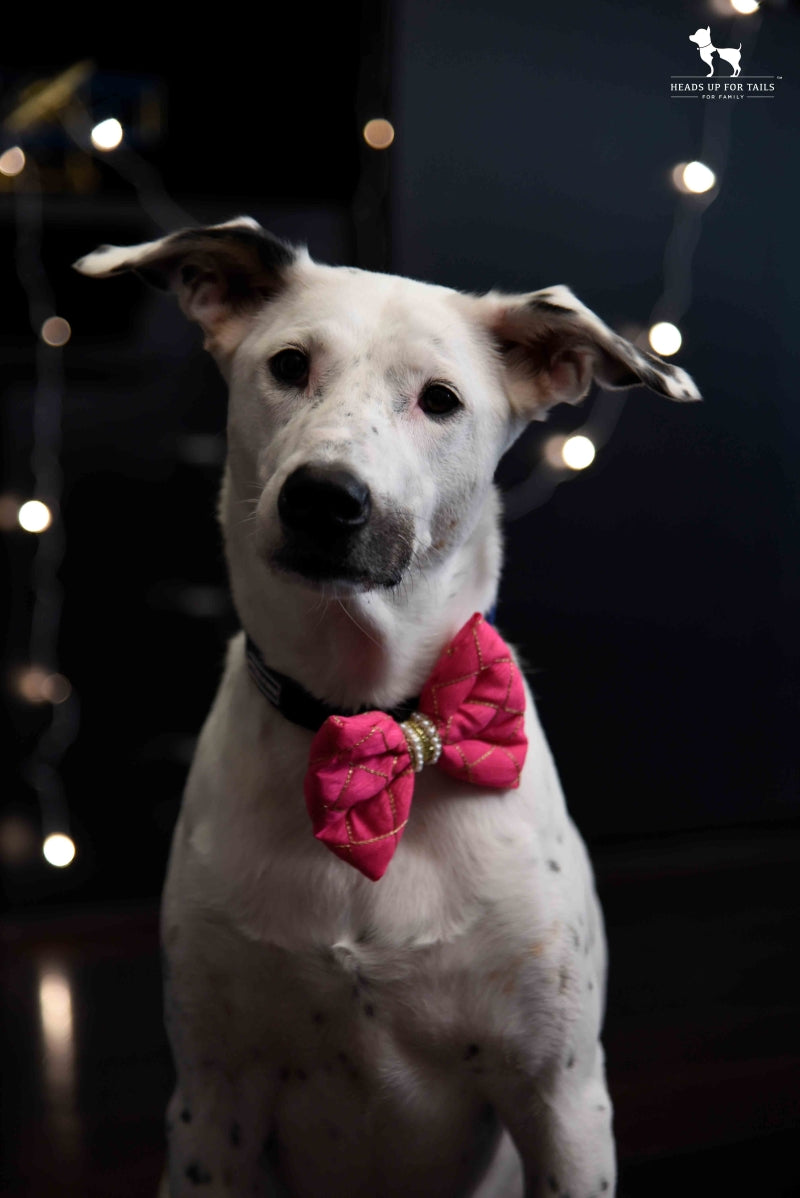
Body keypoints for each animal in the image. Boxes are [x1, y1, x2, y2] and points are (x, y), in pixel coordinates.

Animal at [74, 218, 699, 1198]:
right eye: (289, 365)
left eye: (439, 400)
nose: (324, 497)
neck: (372, 718)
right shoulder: (214, 1102)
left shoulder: (561, 1098)